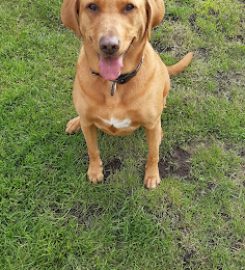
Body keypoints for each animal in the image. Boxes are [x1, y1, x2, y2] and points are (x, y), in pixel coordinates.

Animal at [60, 0, 192, 189]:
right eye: (92, 6)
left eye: (129, 7)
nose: (109, 45)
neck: (114, 83)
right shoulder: (89, 126)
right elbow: (92, 150)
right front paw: (95, 171)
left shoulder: (151, 125)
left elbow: (153, 153)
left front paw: (152, 175)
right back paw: (75, 122)